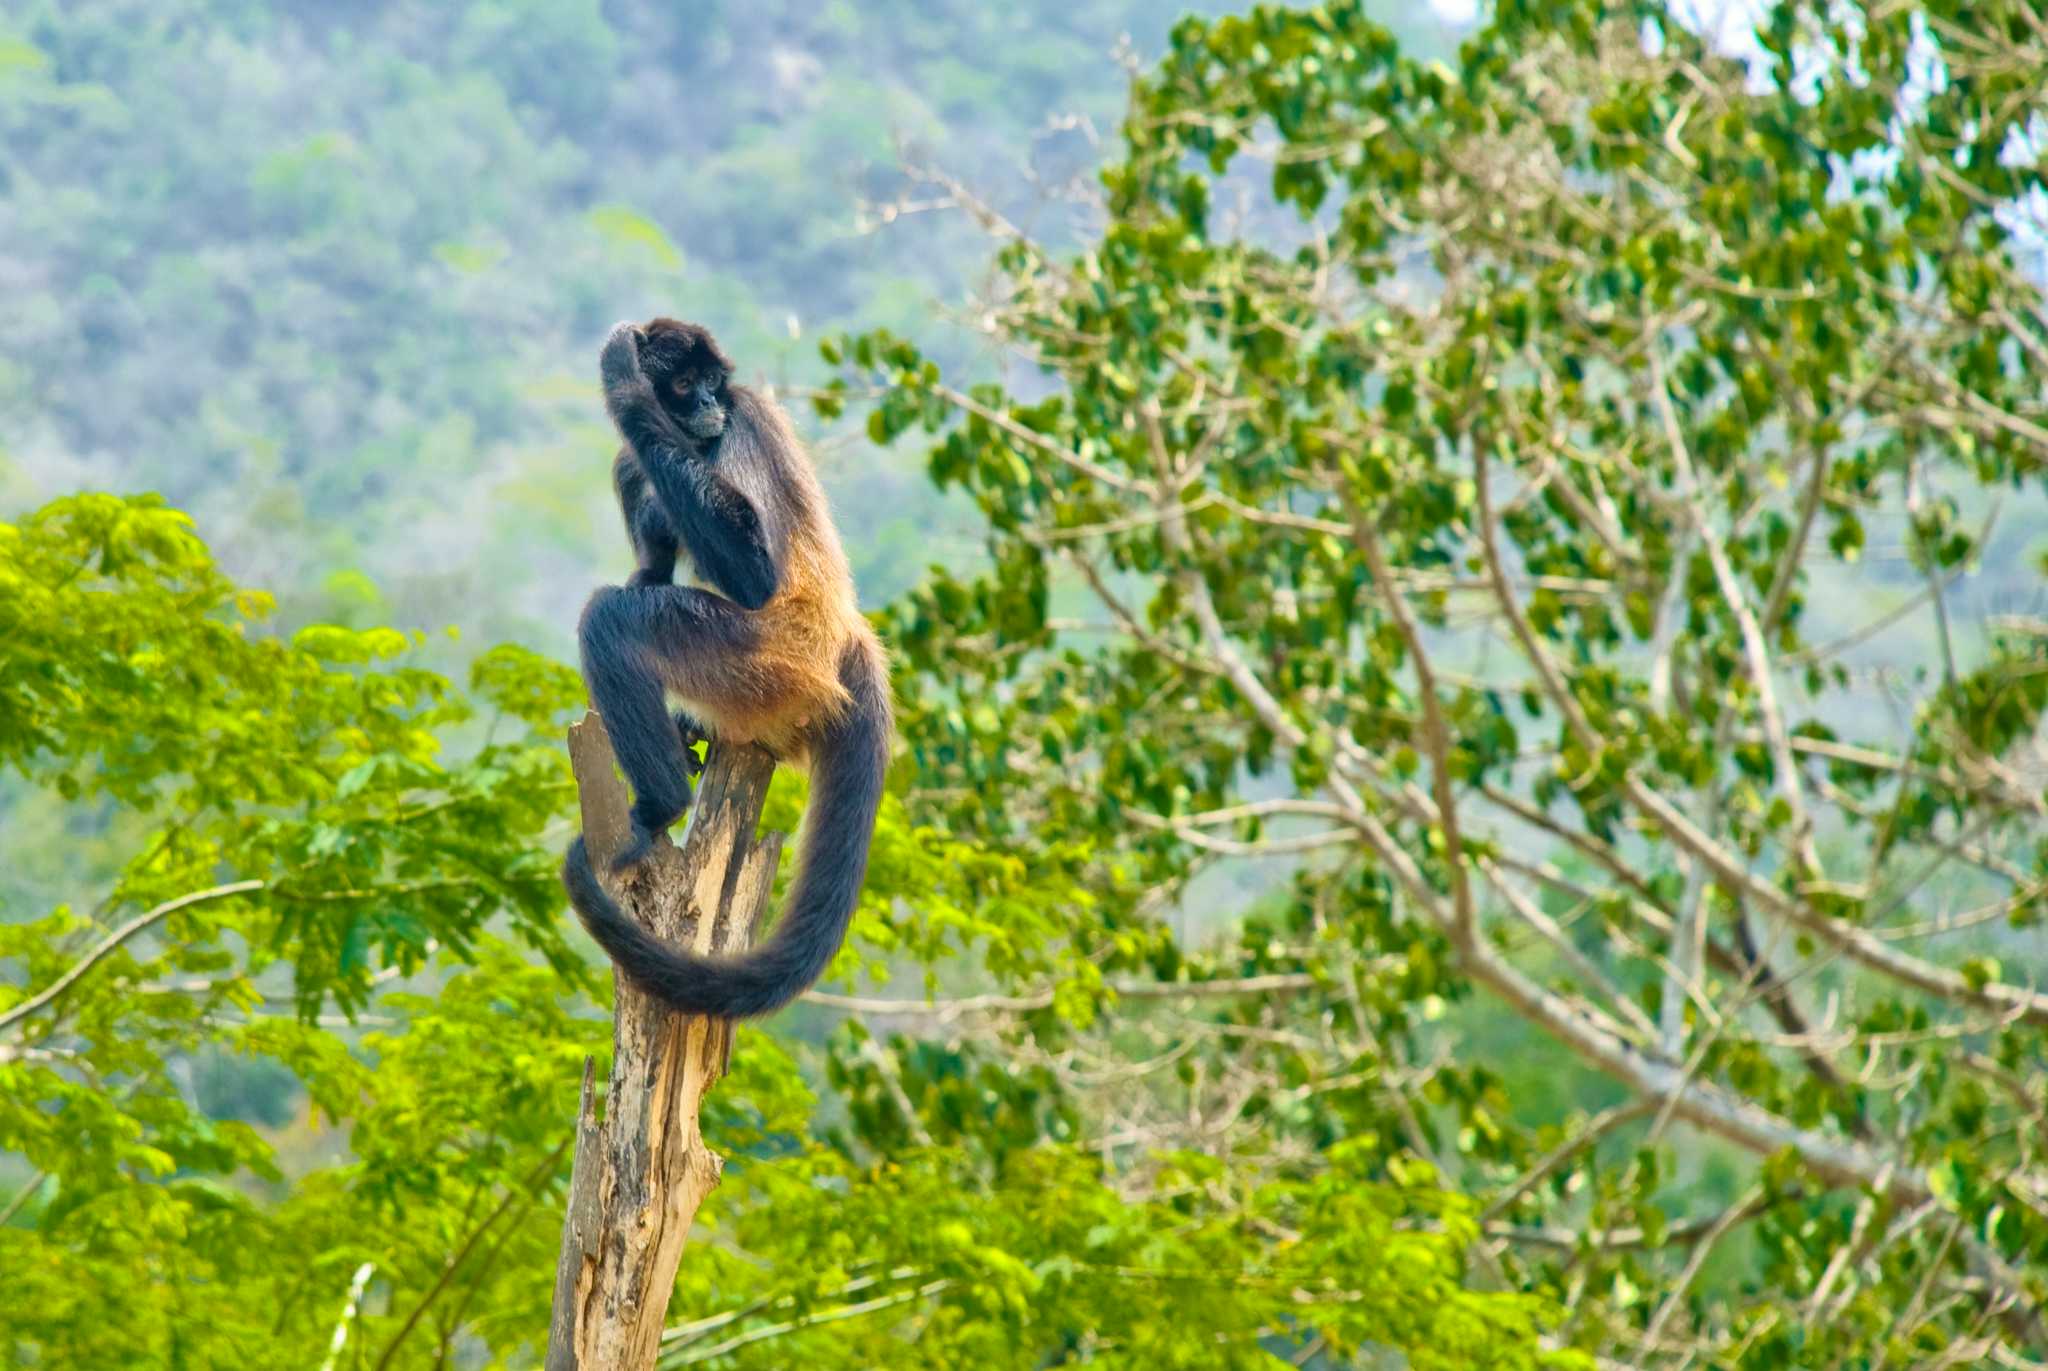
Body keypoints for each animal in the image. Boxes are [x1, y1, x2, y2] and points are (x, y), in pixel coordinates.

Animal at [561, 317, 888, 1016]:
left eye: (714, 382)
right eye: (688, 384)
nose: (711, 403)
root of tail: (844, 636)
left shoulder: (741, 423)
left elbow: (753, 576)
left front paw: (624, 385)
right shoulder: (633, 461)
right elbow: (649, 547)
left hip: (762, 662)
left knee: (610, 619)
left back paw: (661, 806)